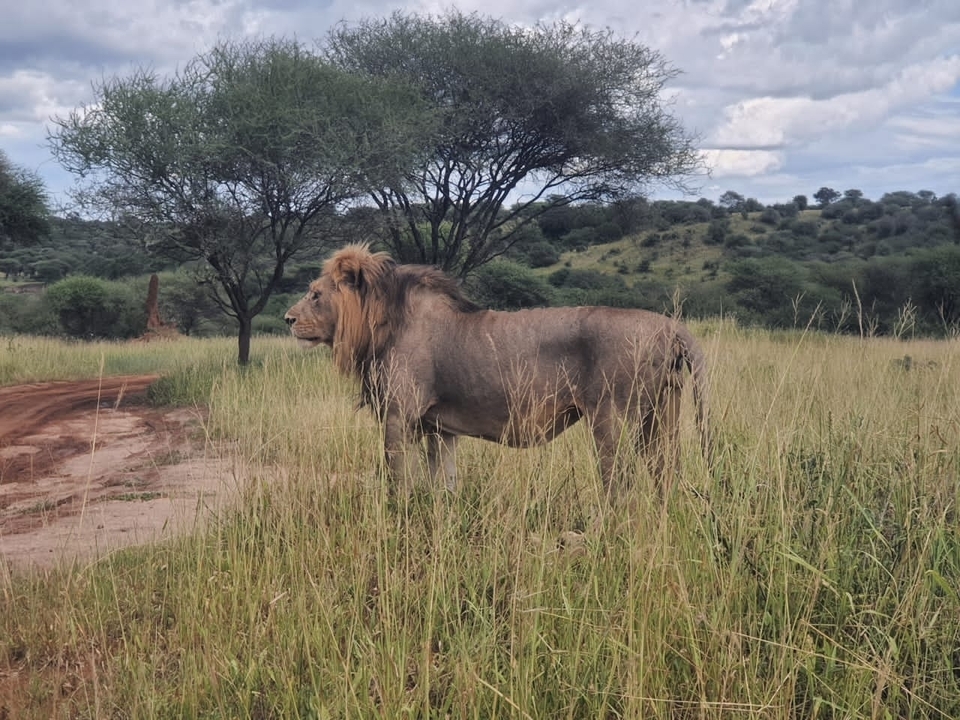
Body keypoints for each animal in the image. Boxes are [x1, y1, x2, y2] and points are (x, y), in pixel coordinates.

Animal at [285, 244, 710, 499]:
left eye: (315, 295)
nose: (288, 319)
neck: (383, 324)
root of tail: (671, 326)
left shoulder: (398, 416)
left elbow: (398, 481)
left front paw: (397, 519)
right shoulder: (439, 428)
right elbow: (444, 483)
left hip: (612, 418)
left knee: (620, 487)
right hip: (662, 414)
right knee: (664, 474)